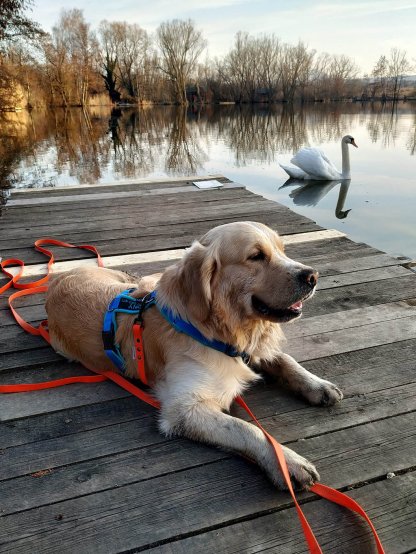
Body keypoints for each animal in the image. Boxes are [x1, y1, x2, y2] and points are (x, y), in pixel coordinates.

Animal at [47, 220, 342, 488]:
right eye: (256, 256)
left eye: (282, 249)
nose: (312, 276)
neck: (219, 330)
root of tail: (58, 278)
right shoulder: (184, 409)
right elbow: (246, 429)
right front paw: (288, 463)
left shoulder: (251, 350)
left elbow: (284, 359)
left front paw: (317, 385)